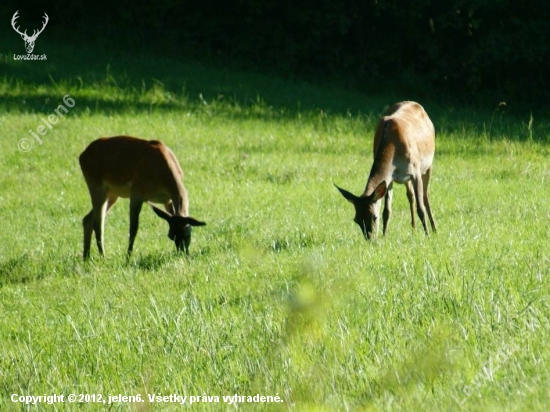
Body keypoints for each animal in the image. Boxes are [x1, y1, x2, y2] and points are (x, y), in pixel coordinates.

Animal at [78, 135, 206, 260]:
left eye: (188, 235)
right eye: (170, 236)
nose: (183, 254)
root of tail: (82, 155)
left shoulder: (168, 201)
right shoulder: (136, 192)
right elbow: (133, 229)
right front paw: (128, 258)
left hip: (112, 194)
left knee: (88, 219)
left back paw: (86, 257)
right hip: (96, 185)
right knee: (98, 224)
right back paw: (102, 257)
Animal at [336, 101, 440, 240]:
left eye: (374, 217)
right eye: (356, 219)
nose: (370, 239)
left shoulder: (415, 170)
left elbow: (421, 208)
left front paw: (427, 236)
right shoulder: (390, 178)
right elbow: (387, 211)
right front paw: (384, 236)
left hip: (428, 165)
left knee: (425, 195)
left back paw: (434, 229)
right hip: (405, 178)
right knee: (410, 195)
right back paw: (414, 229)